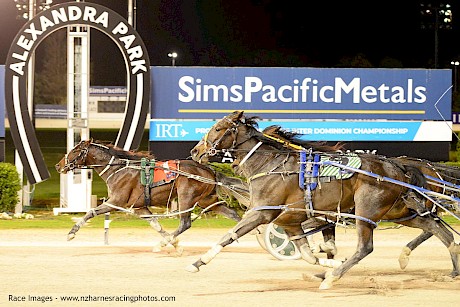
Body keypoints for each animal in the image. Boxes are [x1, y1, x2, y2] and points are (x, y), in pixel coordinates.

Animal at [54, 140, 241, 255]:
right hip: (207, 199)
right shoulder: (140, 207)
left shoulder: (116, 201)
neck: (118, 169)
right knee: (233, 214)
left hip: (186, 197)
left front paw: (71, 233)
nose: (58, 165)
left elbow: (90, 212)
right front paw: (176, 245)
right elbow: (156, 225)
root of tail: (209, 170)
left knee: (185, 223)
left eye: (75, 151)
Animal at [188, 112, 460, 290]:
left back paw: (333, 278)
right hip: (401, 212)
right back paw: (449, 268)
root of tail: (398, 167)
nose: (195, 151)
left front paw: (198, 262)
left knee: (365, 248)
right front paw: (325, 263)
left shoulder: (262, 212)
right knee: (440, 231)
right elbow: (309, 253)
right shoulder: (291, 221)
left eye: (218, 128)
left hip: (366, 211)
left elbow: (228, 235)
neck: (271, 166)